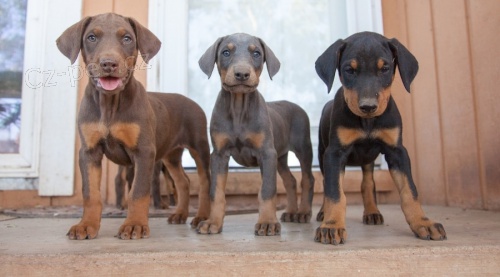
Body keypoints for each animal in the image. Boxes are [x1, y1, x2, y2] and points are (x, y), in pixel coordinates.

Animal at [57, 12, 211, 238]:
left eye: (127, 38)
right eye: (91, 37)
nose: (109, 63)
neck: (110, 103)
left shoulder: (144, 151)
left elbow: (138, 192)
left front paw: (134, 225)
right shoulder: (89, 151)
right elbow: (90, 193)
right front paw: (86, 225)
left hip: (199, 147)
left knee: (205, 182)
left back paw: (202, 217)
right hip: (170, 155)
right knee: (183, 181)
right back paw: (180, 215)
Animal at [197, 33, 314, 235]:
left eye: (257, 53)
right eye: (225, 52)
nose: (242, 74)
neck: (238, 107)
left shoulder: (266, 153)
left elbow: (267, 190)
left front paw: (267, 222)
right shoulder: (219, 154)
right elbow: (216, 192)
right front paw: (213, 222)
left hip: (303, 148)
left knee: (307, 179)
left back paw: (303, 213)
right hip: (280, 156)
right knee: (290, 180)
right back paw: (291, 212)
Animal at [314, 31, 448, 244]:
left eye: (385, 68)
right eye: (349, 70)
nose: (368, 107)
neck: (368, 122)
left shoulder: (397, 152)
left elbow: (410, 191)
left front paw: (423, 222)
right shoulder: (334, 153)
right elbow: (334, 192)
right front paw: (332, 224)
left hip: (368, 159)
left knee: (367, 182)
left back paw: (372, 211)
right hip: (321, 153)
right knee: (328, 181)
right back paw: (323, 212)